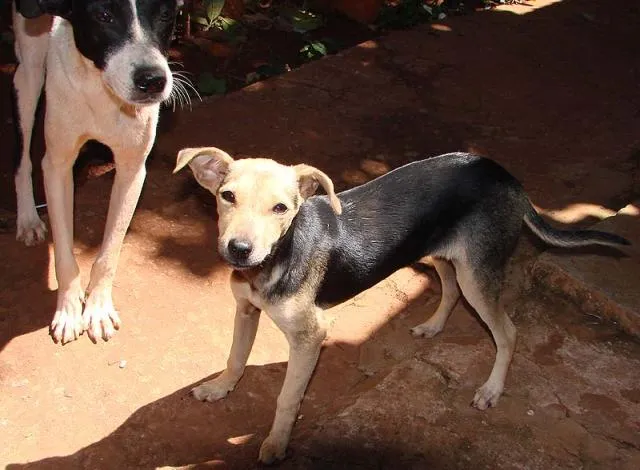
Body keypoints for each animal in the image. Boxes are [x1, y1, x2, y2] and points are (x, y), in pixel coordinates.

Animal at [13, 1, 182, 344]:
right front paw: (67, 310)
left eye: (165, 14)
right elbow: (65, 255)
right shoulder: (58, 166)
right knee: (23, 157)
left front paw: (98, 308)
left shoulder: (132, 169)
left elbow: (109, 251)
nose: (153, 80)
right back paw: (27, 217)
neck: (100, 87)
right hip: (28, 72)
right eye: (104, 16)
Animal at [175, 147, 632, 462]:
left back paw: (491, 389)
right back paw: (433, 326)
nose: (239, 250)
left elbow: (287, 399)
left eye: (281, 208)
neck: (277, 256)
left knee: (508, 331)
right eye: (226, 196)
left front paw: (275, 444)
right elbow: (235, 357)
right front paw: (219, 388)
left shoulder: (310, 337)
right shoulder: (245, 309)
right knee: (449, 288)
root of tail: (505, 176)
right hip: (438, 252)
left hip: (477, 273)